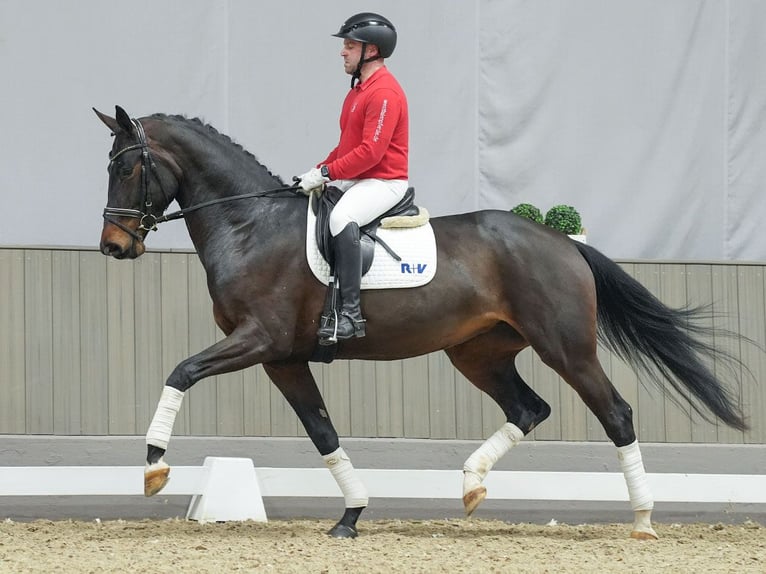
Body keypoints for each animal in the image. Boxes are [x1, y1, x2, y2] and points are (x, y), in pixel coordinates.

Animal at [94, 106, 752, 544]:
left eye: (127, 168)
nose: (113, 247)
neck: (248, 225)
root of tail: (563, 241)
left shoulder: (260, 340)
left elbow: (181, 371)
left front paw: (154, 466)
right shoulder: (283, 357)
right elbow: (322, 432)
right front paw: (352, 515)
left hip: (566, 347)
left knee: (615, 413)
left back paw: (642, 519)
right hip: (478, 352)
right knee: (528, 408)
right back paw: (471, 484)